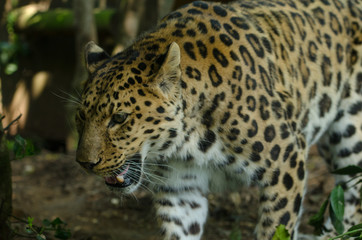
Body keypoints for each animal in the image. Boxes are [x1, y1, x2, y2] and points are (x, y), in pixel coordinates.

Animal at [74, 0, 362, 239]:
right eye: (81, 117)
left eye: (119, 118)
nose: (85, 164)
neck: (186, 142)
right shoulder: (180, 191)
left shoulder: (286, 162)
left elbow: (276, 228)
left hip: (352, 133)